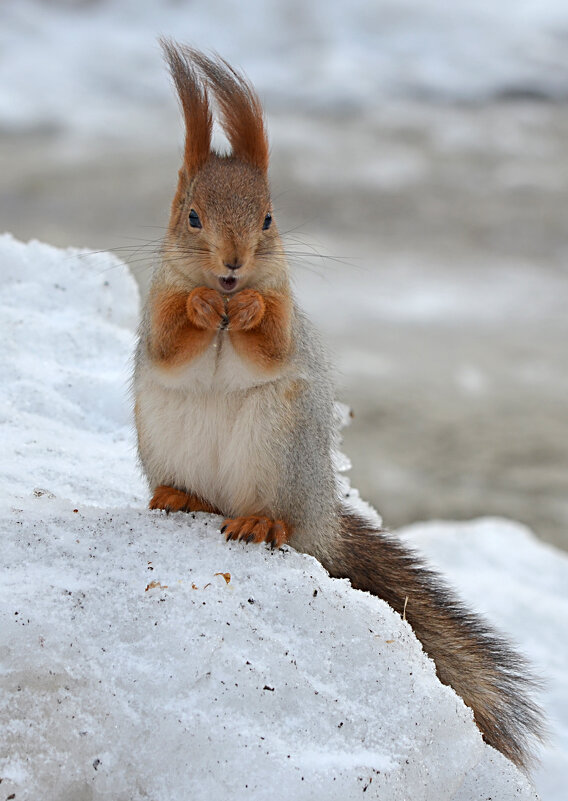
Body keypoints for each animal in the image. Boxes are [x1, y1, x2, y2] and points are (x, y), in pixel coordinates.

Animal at [133, 40, 540, 772]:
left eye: (268, 217)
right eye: (192, 216)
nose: (232, 267)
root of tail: (323, 523)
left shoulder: (289, 320)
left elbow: (272, 340)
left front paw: (248, 311)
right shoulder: (158, 307)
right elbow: (173, 340)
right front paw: (203, 306)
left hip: (283, 458)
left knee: (279, 521)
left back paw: (260, 523)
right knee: (196, 494)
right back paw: (181, 495)